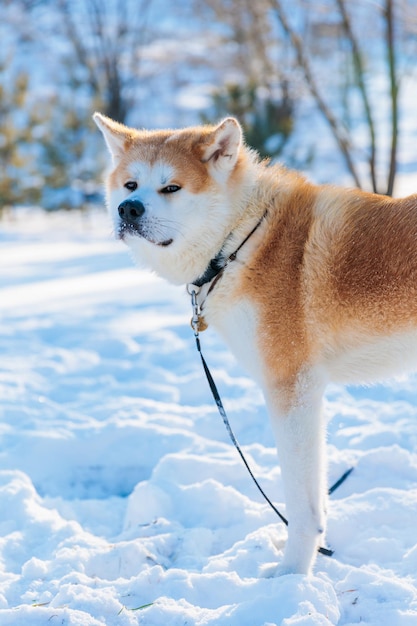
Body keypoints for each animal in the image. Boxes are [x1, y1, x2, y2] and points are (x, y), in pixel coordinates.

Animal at [92, 113, 416, 576]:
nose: (128, 209)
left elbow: (302, 506)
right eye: (131, 185)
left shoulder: (292, 389)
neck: (240, 239)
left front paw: (291, 576)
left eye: (171, 188)